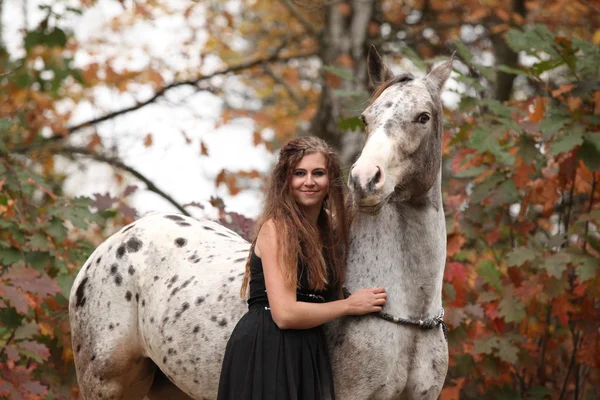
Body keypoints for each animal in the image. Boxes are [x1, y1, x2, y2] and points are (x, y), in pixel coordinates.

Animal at [70, 48, 452, 398]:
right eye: (365, 118)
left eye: (423, 117)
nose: (364, 181)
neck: (409, 317)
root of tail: (109, 247)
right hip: (106, 385)